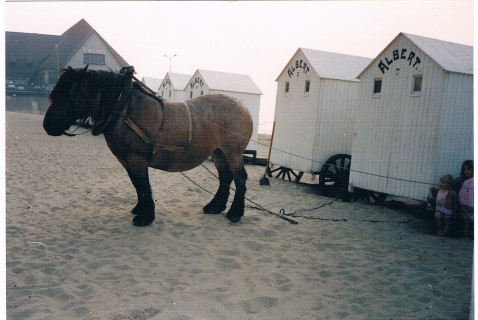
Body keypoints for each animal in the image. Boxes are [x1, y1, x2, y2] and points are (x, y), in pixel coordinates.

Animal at [44, 66, 254, 226]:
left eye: (69, 95)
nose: (47, 125)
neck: (124, 109)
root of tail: (243, 107)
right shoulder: (126, 160)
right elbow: (137, 185)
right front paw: (140, 209)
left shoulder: (137, 159)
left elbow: (144, 184)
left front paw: (146, 217)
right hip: (219, 152)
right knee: (225, 178)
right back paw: (215, 206)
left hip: (233, 152)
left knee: (240, 178)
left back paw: (235, 213)